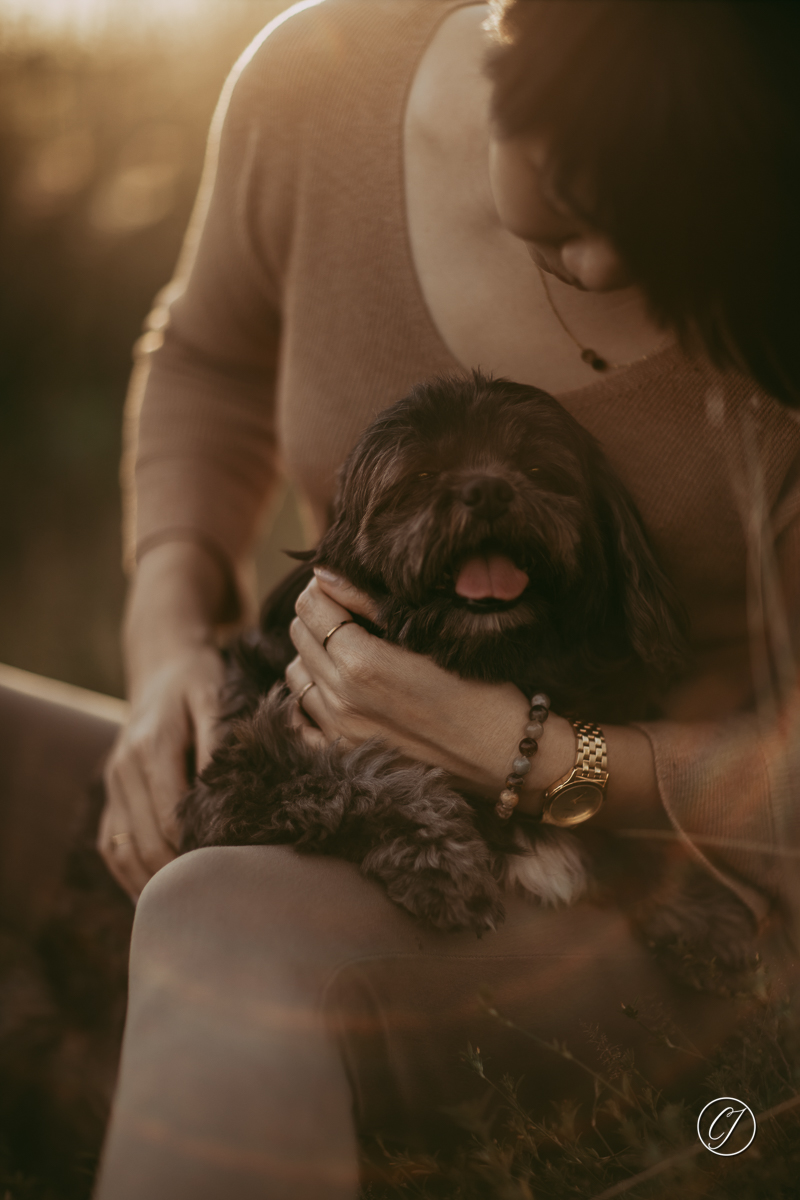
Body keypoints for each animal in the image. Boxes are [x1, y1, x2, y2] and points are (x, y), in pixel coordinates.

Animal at [178, 369, 705, 931]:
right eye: (423, 475)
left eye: (536, 467)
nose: (489, 489)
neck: (490, 656)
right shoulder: (236, 776)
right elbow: (349, 771)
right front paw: (439, 856)